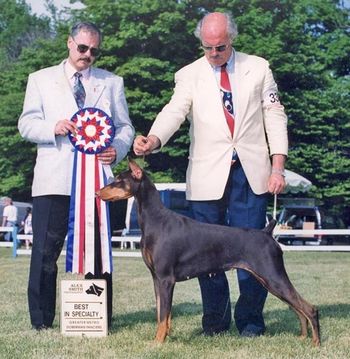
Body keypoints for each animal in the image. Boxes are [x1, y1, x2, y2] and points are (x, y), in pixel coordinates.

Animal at [96, 160, 320, 346]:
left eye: (118, 181)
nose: (98, 193)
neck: (155, 220)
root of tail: (267, 232)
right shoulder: (156, 278)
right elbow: (162, 314)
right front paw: (163, 338)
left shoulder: (166, 279)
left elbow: (163, 315)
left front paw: (157, 343)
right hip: (269, 280)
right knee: (298, 308)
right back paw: (302, 337)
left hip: (273, 276)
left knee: (309, 308)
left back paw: (315, 343)